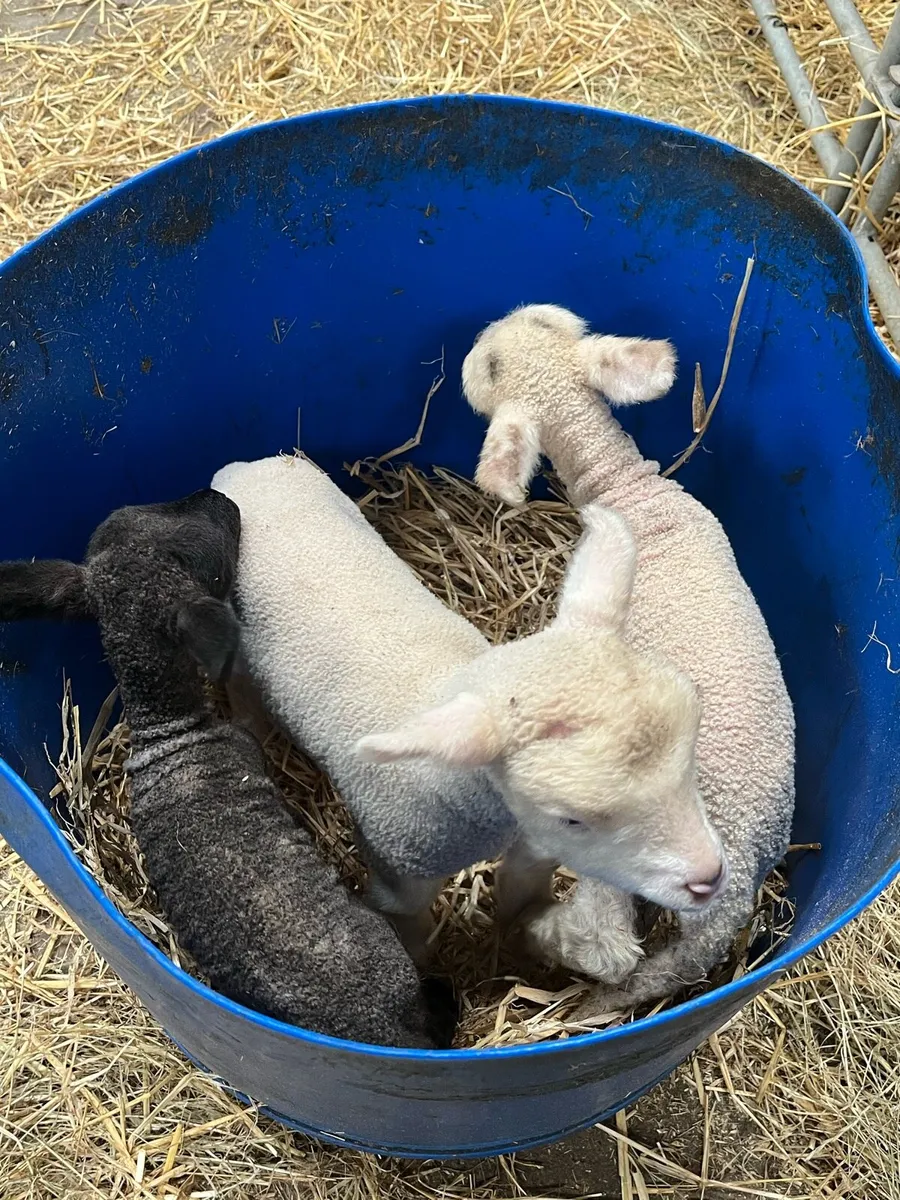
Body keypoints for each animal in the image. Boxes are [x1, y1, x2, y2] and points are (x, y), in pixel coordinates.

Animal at [0, 489, 457, 1049]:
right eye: (196, 557)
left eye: (143, 514)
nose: (220, 498)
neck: (168, 723)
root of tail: (384, 1037)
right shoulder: (245, 745)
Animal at [211, 454, 727, 965]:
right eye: (572, 818)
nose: (709, 877)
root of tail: (244, 467)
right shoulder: (398, 868)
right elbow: (411, 931)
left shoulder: (532, 843)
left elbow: (520, 893)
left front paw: (521, 944)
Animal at [462, 302, 795, 1013]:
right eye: (542, 323)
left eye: (492, 367)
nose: (479, 338)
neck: (629, 491)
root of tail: (733, 897)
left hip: (626, 851)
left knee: (612, 946)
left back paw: (540, 934)